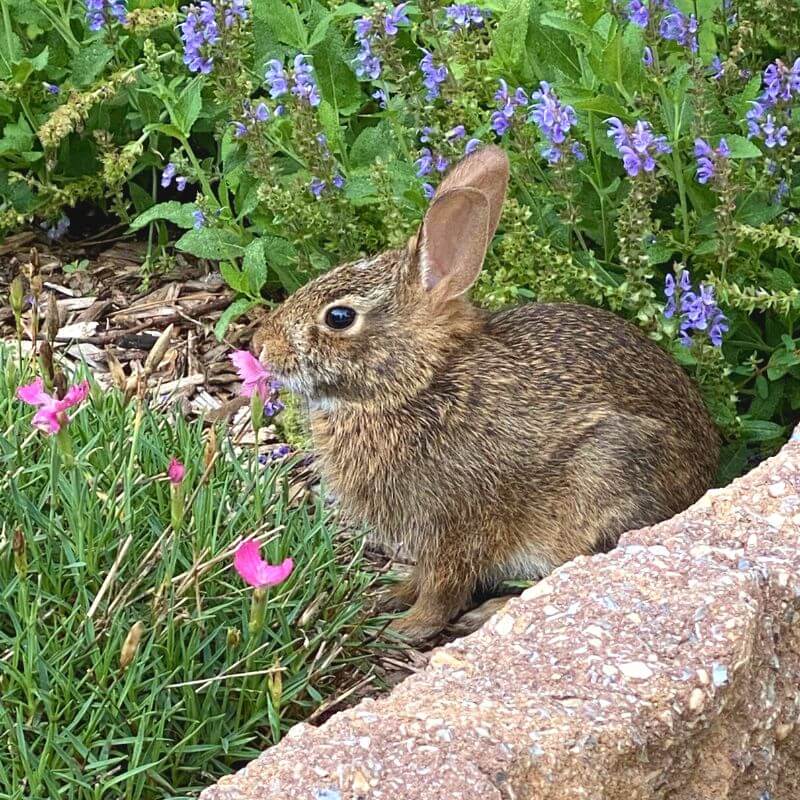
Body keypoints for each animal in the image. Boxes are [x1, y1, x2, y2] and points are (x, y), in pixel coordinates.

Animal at [253, 145, 720, 644]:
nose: (261, 346)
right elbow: (421, 576)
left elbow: (443, 587)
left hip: (602, 489)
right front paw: (391, 596)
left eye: (339, 317)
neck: (418, 383)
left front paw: (406, 627)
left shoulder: (458, 525)